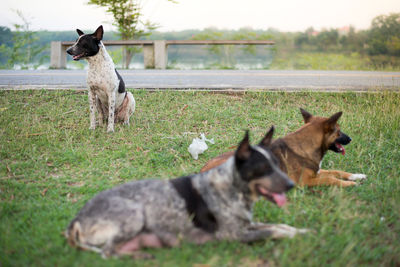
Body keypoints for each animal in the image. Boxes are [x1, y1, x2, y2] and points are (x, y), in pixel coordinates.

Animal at [65, 129, 310, 258]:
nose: (291, 185)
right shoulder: (233, 235)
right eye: (263, 168)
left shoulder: (247, 224)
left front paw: (302, 231)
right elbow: (274, 231)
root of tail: (75, 220)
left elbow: (280, 226)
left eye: (277, 164)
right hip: (134, 215)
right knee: (106, 252)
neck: (230, 186)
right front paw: (296, 236)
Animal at [202, 109, 368, 188]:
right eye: (339, 132)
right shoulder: (305, 181)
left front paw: (356, 176)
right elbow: (330, 178)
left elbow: (336, 172)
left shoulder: (317, 172)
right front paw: (349, 184)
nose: (351, 139)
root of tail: (202, 170)